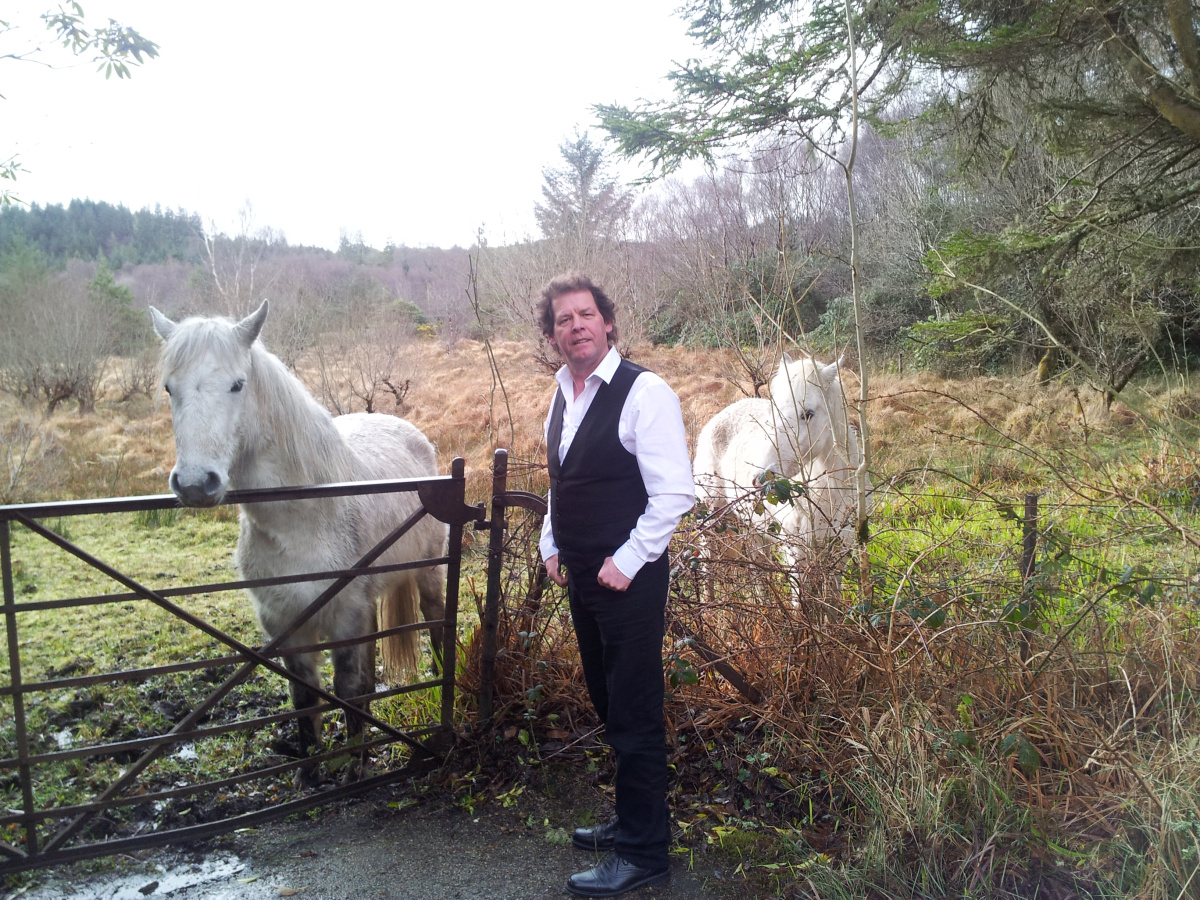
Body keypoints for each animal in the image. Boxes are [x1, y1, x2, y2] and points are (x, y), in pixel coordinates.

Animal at [150, 301, 448, 782]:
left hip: (428, 574)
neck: (304, 518)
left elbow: (348, 687)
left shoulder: (346, 617)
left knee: (435, 624)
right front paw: (310, 772)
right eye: (168, 388)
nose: (195, 484)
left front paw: (354, 767)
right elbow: (304, 696)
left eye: (237, 385)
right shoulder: (285, 625)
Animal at [696, 355, 864, 578]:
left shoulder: (837, 551)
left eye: (808, 413)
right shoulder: (797, 554)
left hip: (754, 528)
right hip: (710, 520)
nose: (761, 479)